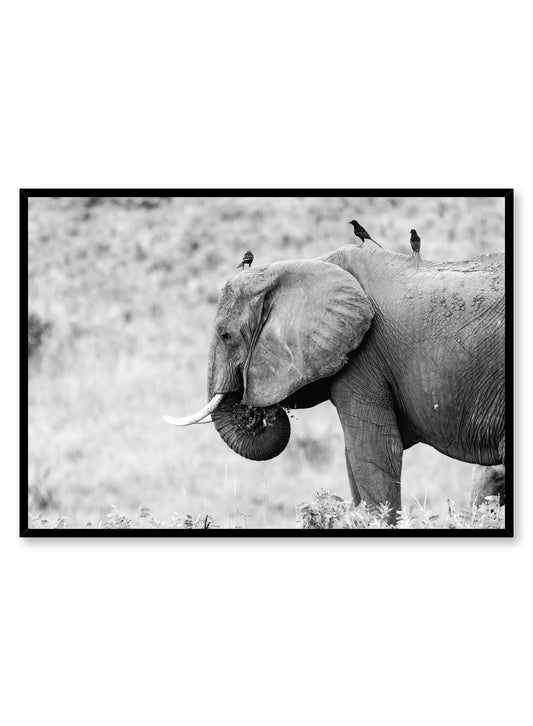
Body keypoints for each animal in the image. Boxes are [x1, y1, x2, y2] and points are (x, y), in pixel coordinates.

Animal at [165, 244, 505, 515]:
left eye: (225, 335)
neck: (306, 264)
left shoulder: (364, 358)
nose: (254, 410)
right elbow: (352, 457)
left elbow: (373, 451)